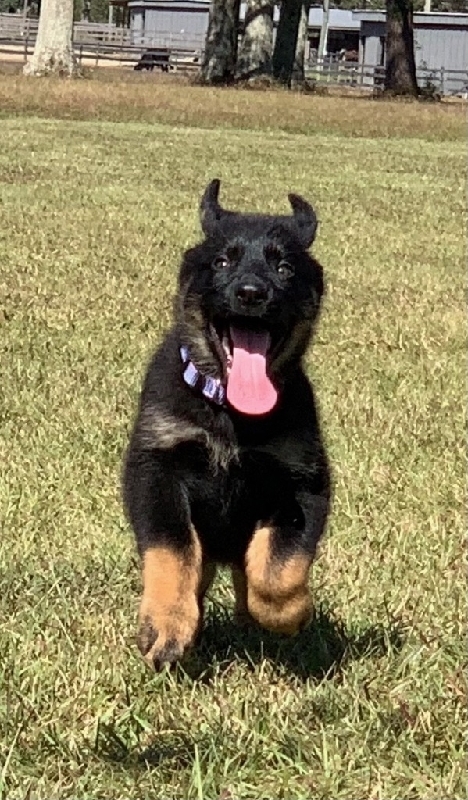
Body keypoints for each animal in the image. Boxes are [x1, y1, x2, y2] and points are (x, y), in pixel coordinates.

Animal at [122, 180, 331, 670]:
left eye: (285, 268)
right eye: (221, 262)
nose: (252, 293)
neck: (230, 413)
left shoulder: (304, 480)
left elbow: (279, 567)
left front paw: (289, 614)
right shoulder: (156, 467)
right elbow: (174, 548)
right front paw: (166, 626)